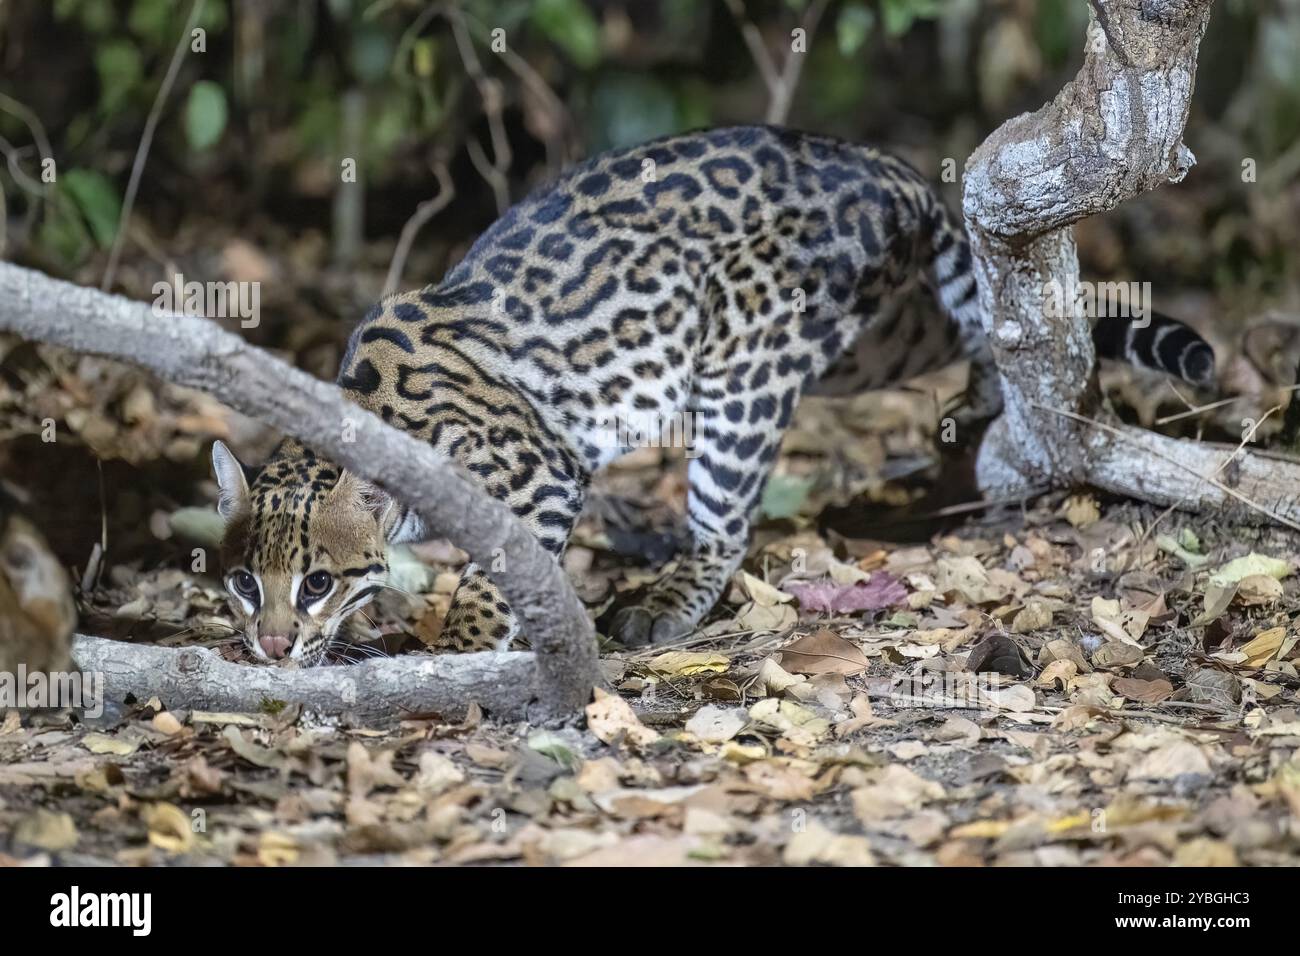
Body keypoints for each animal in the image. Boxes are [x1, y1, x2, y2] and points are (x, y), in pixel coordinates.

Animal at [208, 125, 1211, 665]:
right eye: (241, 581)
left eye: (319, 580)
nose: (269, 647)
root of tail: (883, 166)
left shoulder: (537, 472)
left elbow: (498, 580)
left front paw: (458, 653)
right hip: (869, 340)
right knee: (985, 320)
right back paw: (991, 398)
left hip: (743, 364)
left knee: (724, 526)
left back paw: (666, 597)